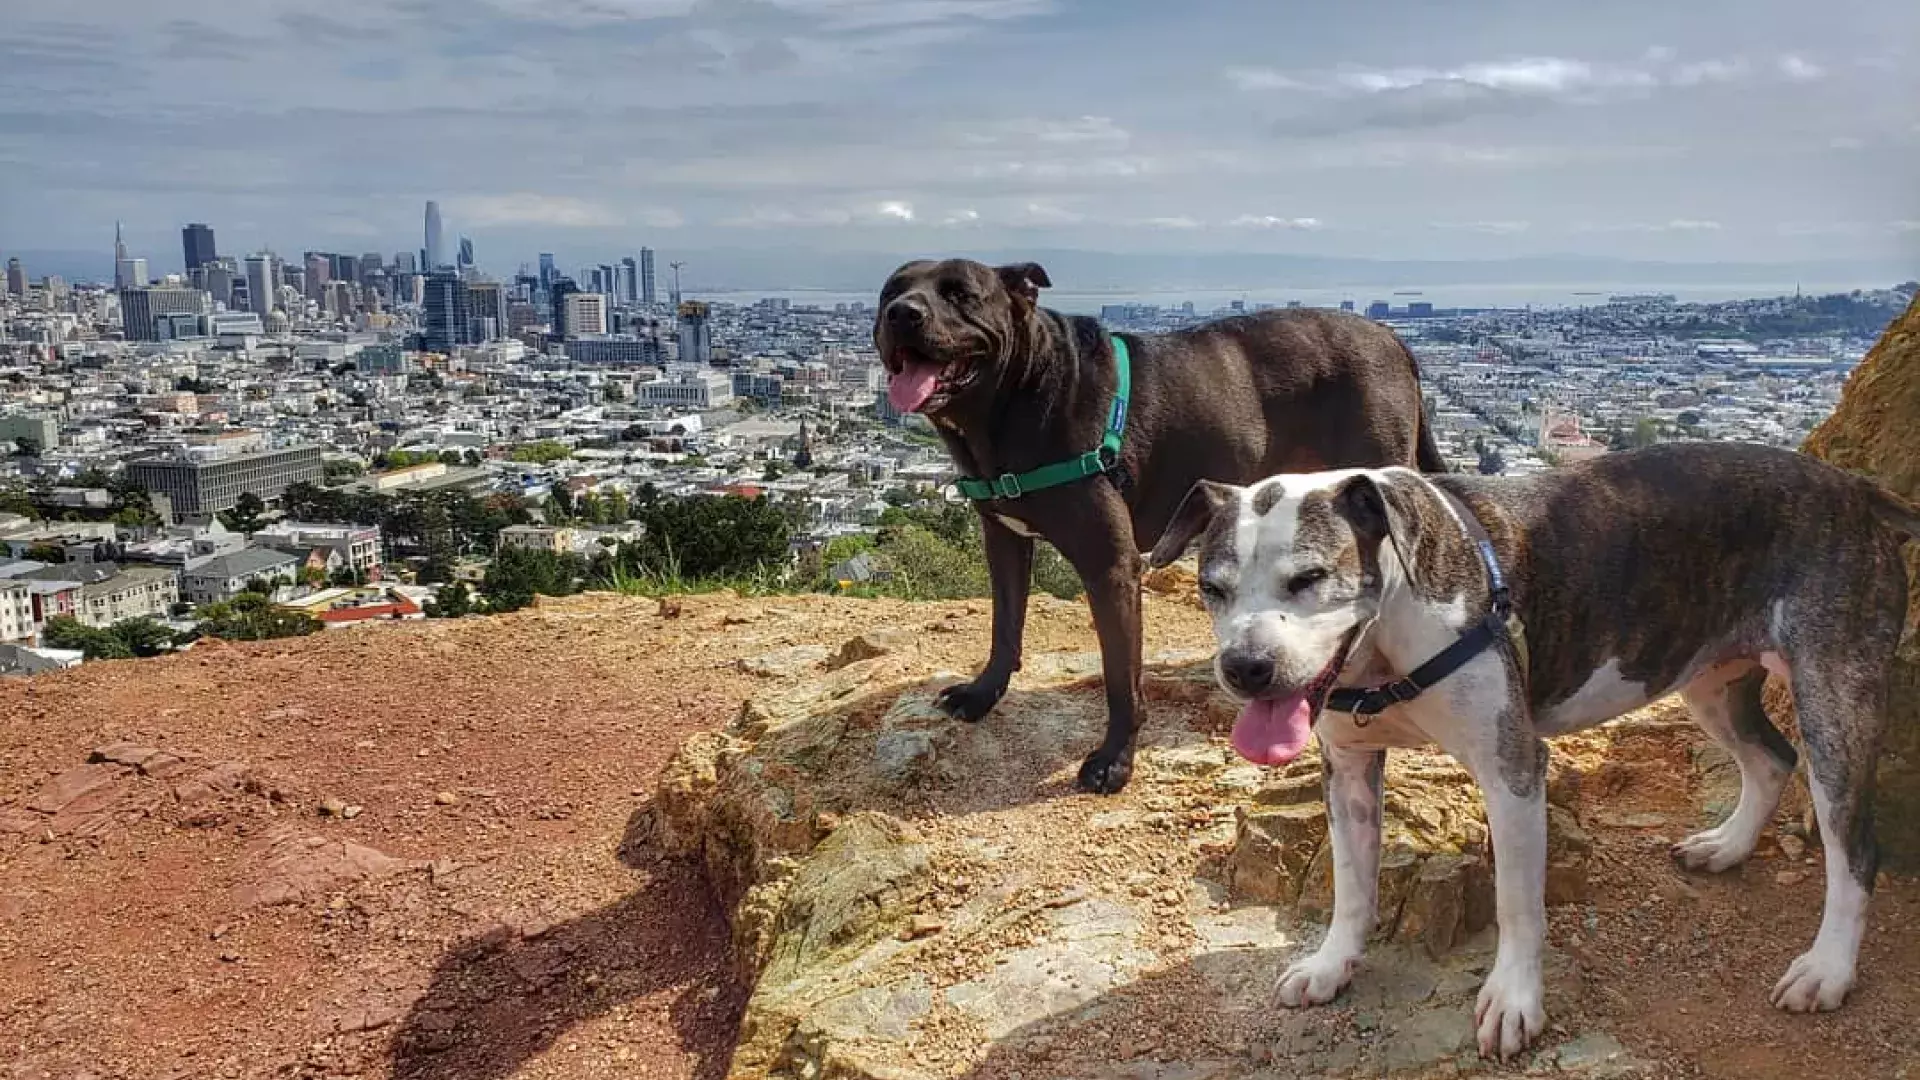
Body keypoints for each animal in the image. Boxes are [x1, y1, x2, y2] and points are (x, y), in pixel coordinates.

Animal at [871, 255, 1443, 787]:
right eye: (891, 292)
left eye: (960, 294)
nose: (902, 313)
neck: (1018, 395)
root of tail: (1392, 338)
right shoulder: (1004, 540)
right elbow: (1004, 627)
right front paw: (983, 694)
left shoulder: (1111, 566)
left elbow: (1120, 676)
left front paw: (1114, 760)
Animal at [1144, 441, 1912, 1053]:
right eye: (1211, 587)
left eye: (1308, 579)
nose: (1245, 667)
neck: (1387, 627)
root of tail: (1854, 489)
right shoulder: (1349, 768)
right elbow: (1352, 881)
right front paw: (1333, 964)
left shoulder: (1510, 769)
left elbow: (1517, 900)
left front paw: (1515, 1002)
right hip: (1709, 681)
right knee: (1770, 759)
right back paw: (1727, 847)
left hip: (1835, 697)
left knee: (1855, 845)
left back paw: (1828, 970)